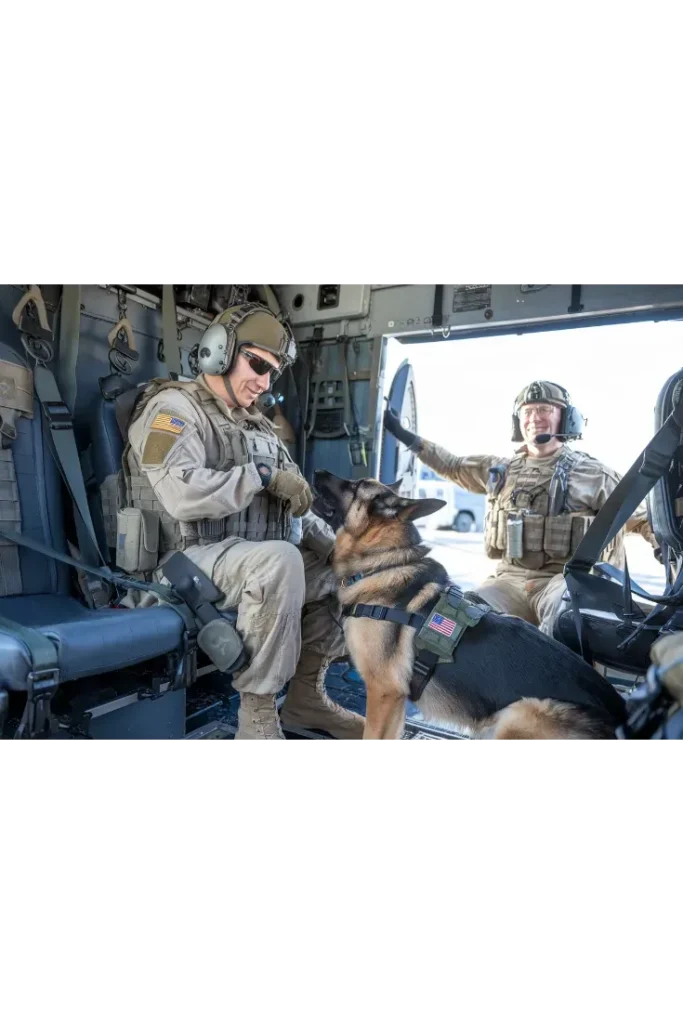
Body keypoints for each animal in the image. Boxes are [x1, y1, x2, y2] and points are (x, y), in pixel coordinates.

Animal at [313, 471, 626, 745]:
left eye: (355, 485)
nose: (316, 471)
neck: (384, 562)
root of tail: (622, 717)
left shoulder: (384, 693)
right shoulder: (395, 702)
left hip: (518, 715)